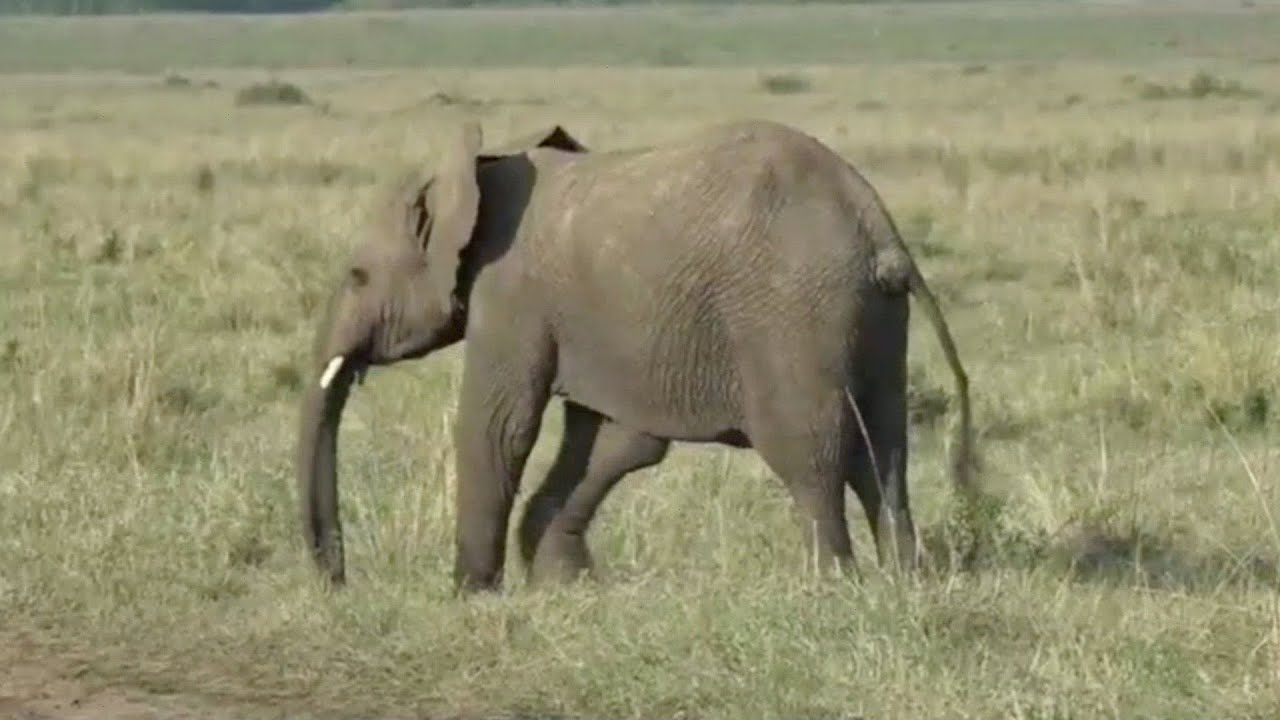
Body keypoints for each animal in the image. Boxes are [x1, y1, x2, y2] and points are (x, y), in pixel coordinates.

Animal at [295, 117, 974, 594]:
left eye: (356, 276)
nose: (339, 582)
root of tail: (878, 227)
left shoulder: (510, 295)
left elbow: (499, 427)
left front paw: (472, 594)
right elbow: (616, 443)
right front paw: (564, 584)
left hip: (794, 315)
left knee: (810, 456)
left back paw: (831, 588)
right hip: (873, 317)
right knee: (884, 452)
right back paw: (903, 583)